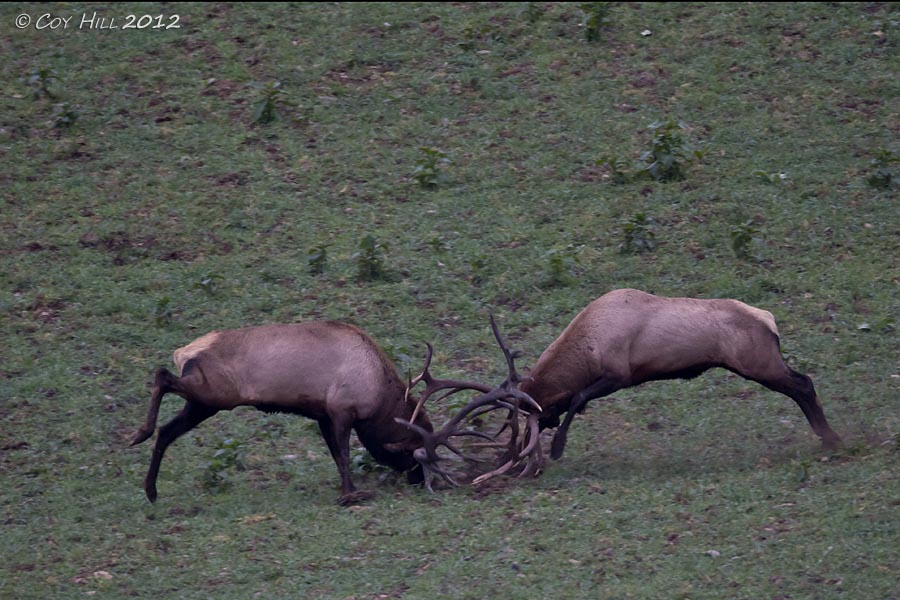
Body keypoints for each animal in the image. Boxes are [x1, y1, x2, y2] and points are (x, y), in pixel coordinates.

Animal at [130, 320, 524, 505]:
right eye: (412, 454)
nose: (416, 479)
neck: (379, 397)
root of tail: (186, 350)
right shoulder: (341, 410)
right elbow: (346, 455)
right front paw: (351, 494)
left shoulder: (321, 414)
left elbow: (336, 455)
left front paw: (347, 489)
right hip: (215, 394)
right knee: (162, 377)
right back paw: (139, 433)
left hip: (203, 404)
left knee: (167, 430)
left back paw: (151, 489)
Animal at [467, 289, 843, 483]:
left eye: (534, 414)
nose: (507, 456)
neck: (588, 345)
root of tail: (770, 319)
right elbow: (578, 399)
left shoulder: (619, 375)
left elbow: (578, 398)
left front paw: (559, 447)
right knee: (802, 384)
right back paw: (828, 437)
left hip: (758, 364)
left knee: (804, 383)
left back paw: (832, 437)